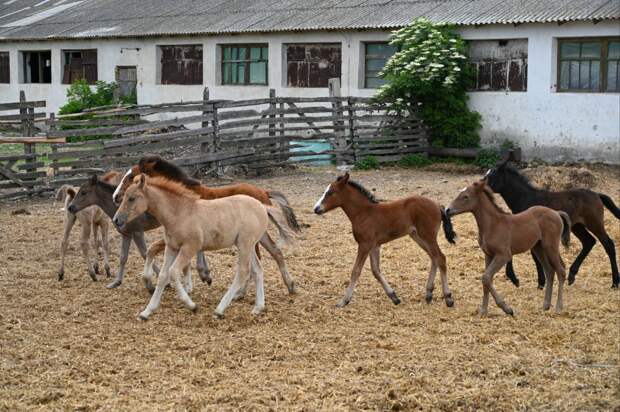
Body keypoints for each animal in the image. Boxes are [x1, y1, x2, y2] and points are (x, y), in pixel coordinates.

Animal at [112, 175, 296, 322]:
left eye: (131, 198)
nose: (116, 220)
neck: (179, 212)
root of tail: (263, 205)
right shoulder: (172, 247)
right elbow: (163, 275)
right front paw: (146, 312)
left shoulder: (190, 247)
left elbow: (173, 272)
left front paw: (191, 305)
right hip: (248, 244)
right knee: (257, 270)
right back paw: (258, 307)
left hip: (245, 244)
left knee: (243, 271)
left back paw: (220, 310)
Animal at [314, 172, 456, 308]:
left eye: (330, 192)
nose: (316, 209)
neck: (364, 213)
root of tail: (438, 205)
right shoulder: (374, 246)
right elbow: (375, 271)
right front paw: (394, 297)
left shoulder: (364, 245)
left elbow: (356, 271)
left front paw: (343, 301)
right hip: (417, 236)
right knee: (433, 257)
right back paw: (429, 294)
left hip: (428, 235)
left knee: (440, 258)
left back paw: (448, 297)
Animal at [446, 178, 572, 316]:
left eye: (465, 196)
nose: (447, 210)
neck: (493, 224)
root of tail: (556, 212)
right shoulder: (488, 254)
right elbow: (486, 279)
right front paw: (484, 311)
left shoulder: (503, 255)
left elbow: (486, 277)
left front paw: (506, 308)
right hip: (538, 248)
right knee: (549, 271)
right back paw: (546, 305)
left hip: (550, 247)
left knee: (560, 270)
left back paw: (558, 307)